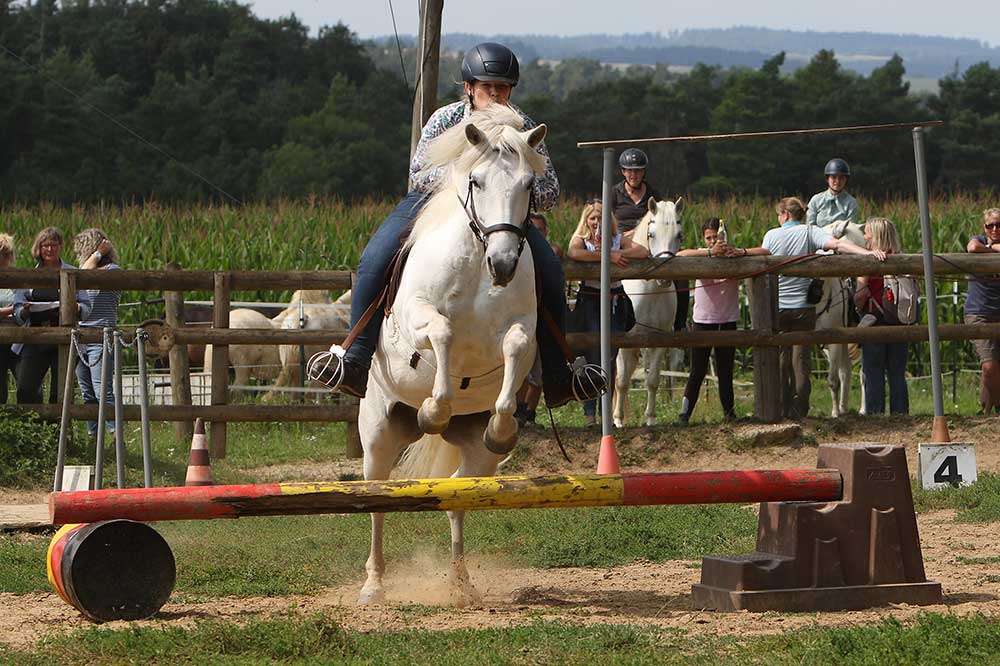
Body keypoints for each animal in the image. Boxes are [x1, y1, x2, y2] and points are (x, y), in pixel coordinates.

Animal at [328, 105, 546, 606]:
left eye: (529, 184)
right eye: (477, 181)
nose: (504, 264)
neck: (477, 263)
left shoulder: (522, 330)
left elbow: (514, 346)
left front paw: (503, 424)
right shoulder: (417, 316)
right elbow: (444, 334)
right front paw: (433, 409)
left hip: (477, 459)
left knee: (456, 499)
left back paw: (461, 584)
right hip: (378, 436)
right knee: (378, 501)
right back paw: (374, 585)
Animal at [612, 198, 684, 427]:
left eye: (679, 235)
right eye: (651, 234)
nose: (664, 277)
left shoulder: (659, 339)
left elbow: (652, 380)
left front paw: (651, 419)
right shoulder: (623, 342)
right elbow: (622, 381)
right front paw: (618, 421)